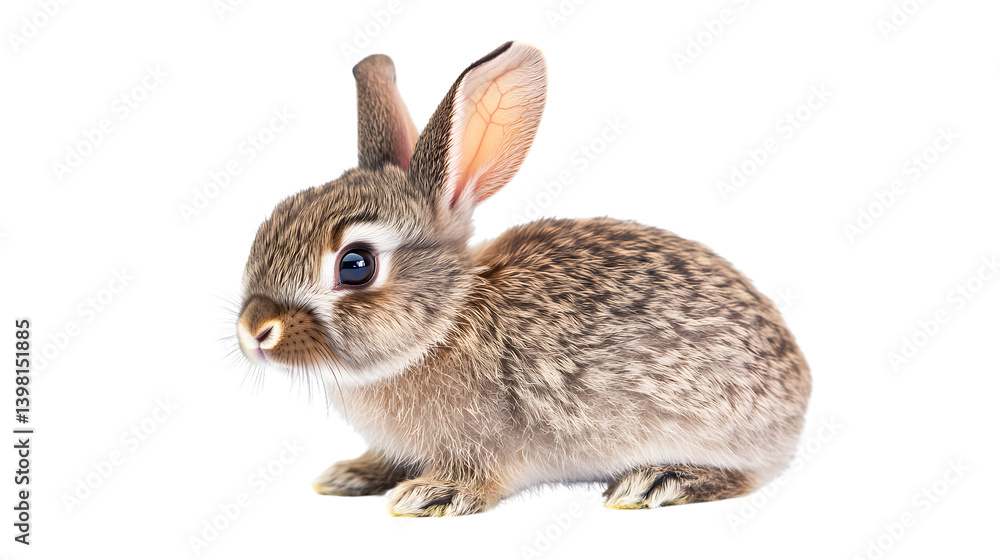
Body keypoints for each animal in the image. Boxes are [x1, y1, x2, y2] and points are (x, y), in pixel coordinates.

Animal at [235, 41, 811, 516]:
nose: (254, 330)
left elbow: (478, 475)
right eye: (269, 222)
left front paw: (432, 494)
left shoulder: (489, 441)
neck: (442, 325)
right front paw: (353, 475)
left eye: (355, 265)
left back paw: (659, 481)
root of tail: (799, 388)